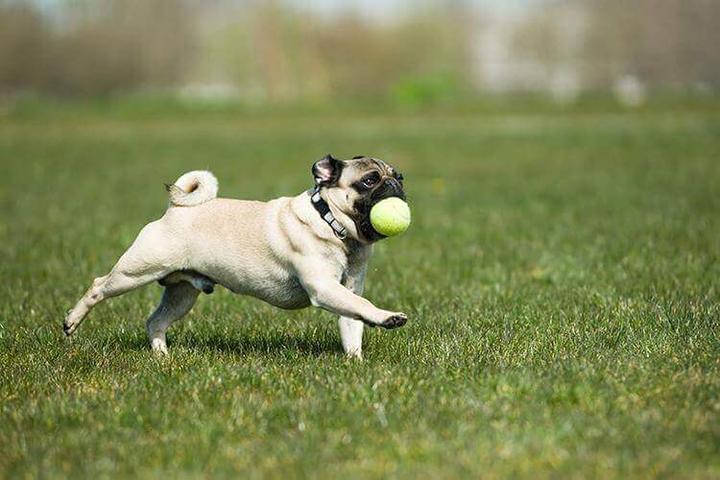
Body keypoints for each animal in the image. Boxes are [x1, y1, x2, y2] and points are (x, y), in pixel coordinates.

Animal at [64, 154, 408, 356]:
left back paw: (162, 357)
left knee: (155, 322)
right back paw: (71, 322)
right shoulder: (324, 288)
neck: (331, 223)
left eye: (399, 176)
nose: (395, 183)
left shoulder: (347, 289)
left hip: (182, 294)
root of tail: (175, 209)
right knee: (98, 286)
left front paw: (355, 362)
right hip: (137, 270)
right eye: (369, 181)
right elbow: (363, 307)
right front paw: (387, 317)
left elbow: (353, 322)